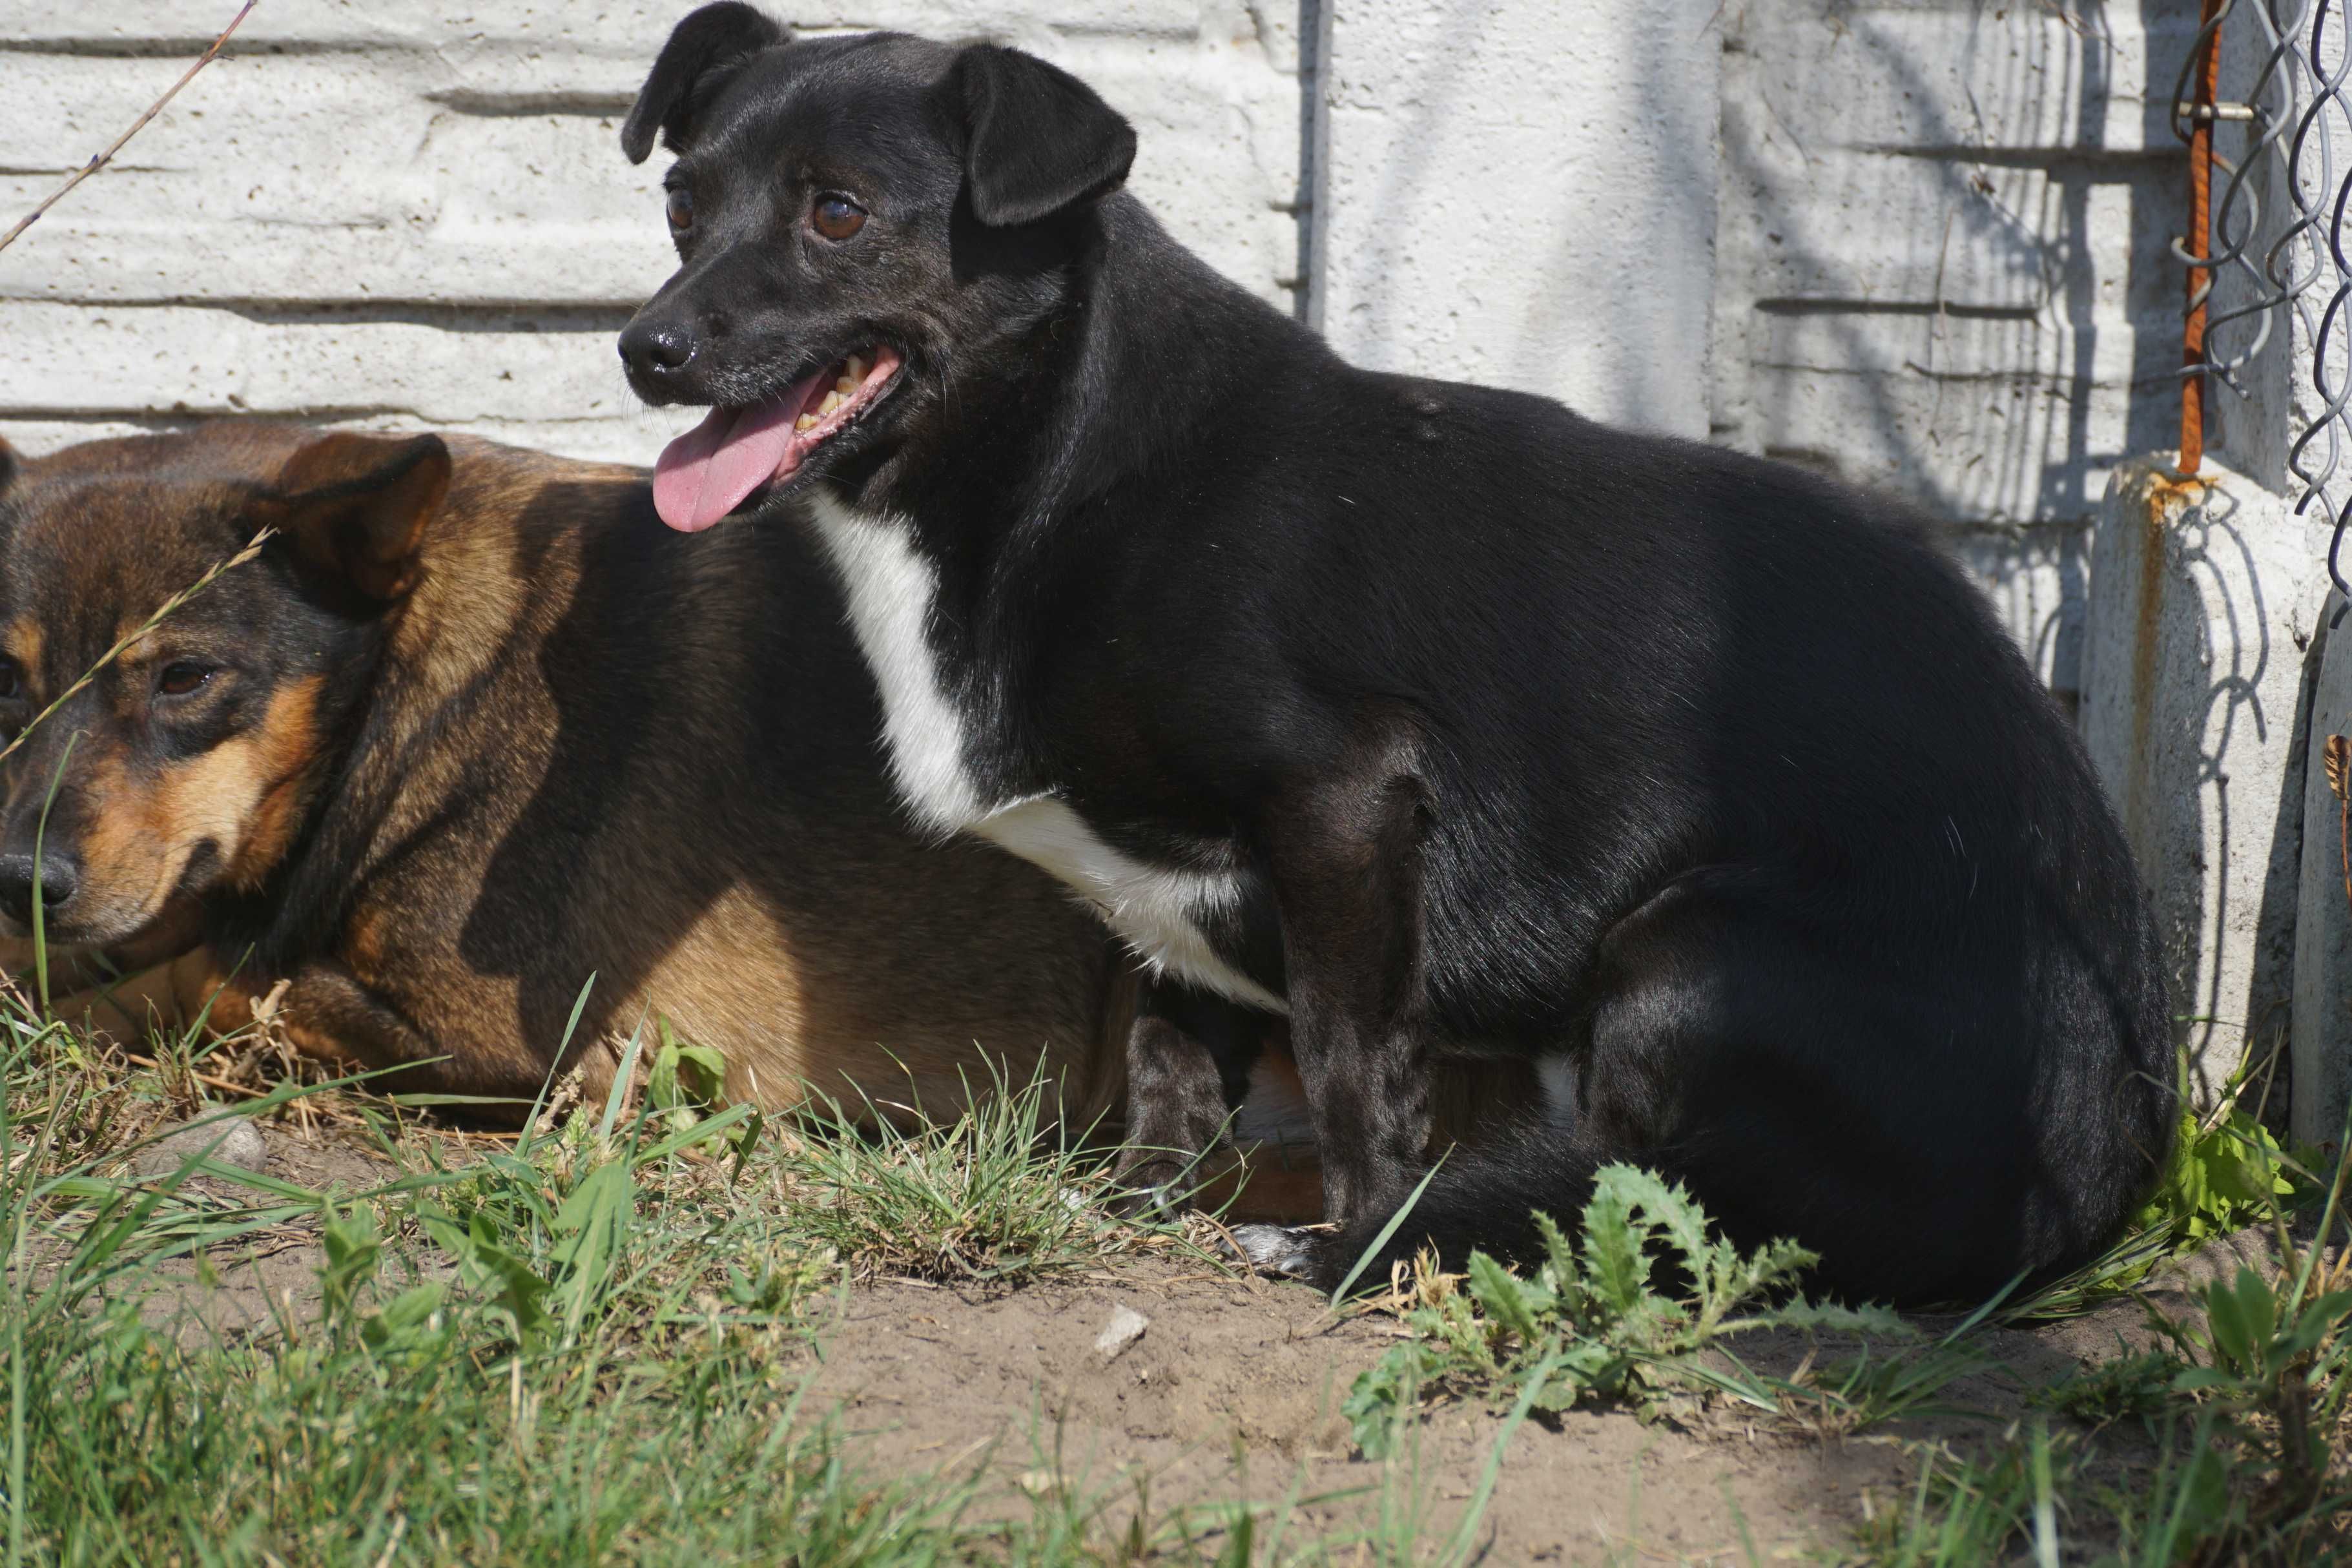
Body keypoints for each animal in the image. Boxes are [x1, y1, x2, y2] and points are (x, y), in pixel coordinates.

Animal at [0, 423, 1129, 1124]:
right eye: (3, 676)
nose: (18, 881)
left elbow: (214, 981)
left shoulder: (528, 1051)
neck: (412, 692)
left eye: (185, 678)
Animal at [611, 6, 2163, 1306]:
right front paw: (1140, 1201)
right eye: (681, 205)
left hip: (1681, 947)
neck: (1055, 462)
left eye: (837, 213)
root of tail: (2105, 1174)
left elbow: (1353, 1063)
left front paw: (1358, 1243)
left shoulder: (1345, 800)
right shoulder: (1168, 889)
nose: (645, 349)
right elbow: (1169, 1056)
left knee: (1646, 1186)